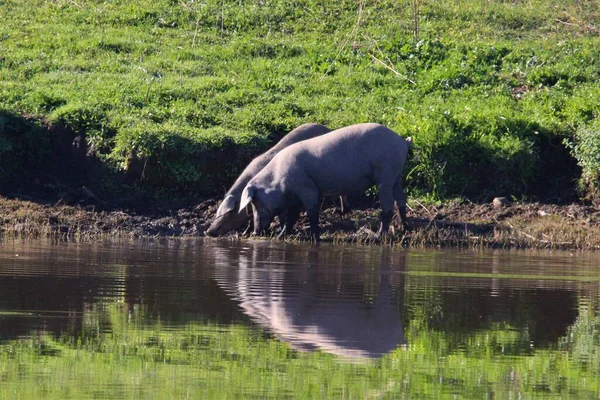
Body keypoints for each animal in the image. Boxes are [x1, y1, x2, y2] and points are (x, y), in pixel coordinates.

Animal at [204, 123, 350, 236]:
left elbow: (279, 216)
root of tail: (327, 128)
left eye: (229, 213)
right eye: (217, 212)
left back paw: (342, 211)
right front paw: (246, 233)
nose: (208, 232)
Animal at [239, 122, 412, 241]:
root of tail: (402, 141)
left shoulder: (308, 189)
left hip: (385, 177)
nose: (255, 231)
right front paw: (280, 236)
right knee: (401, 199)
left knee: (388, 205)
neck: (278, 180)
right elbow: (292, 216)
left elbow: (312, 212)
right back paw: (405, 228)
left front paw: (315, 237)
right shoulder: (297, 195)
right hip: (396, 177)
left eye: (255, 202)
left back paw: (380, 234)